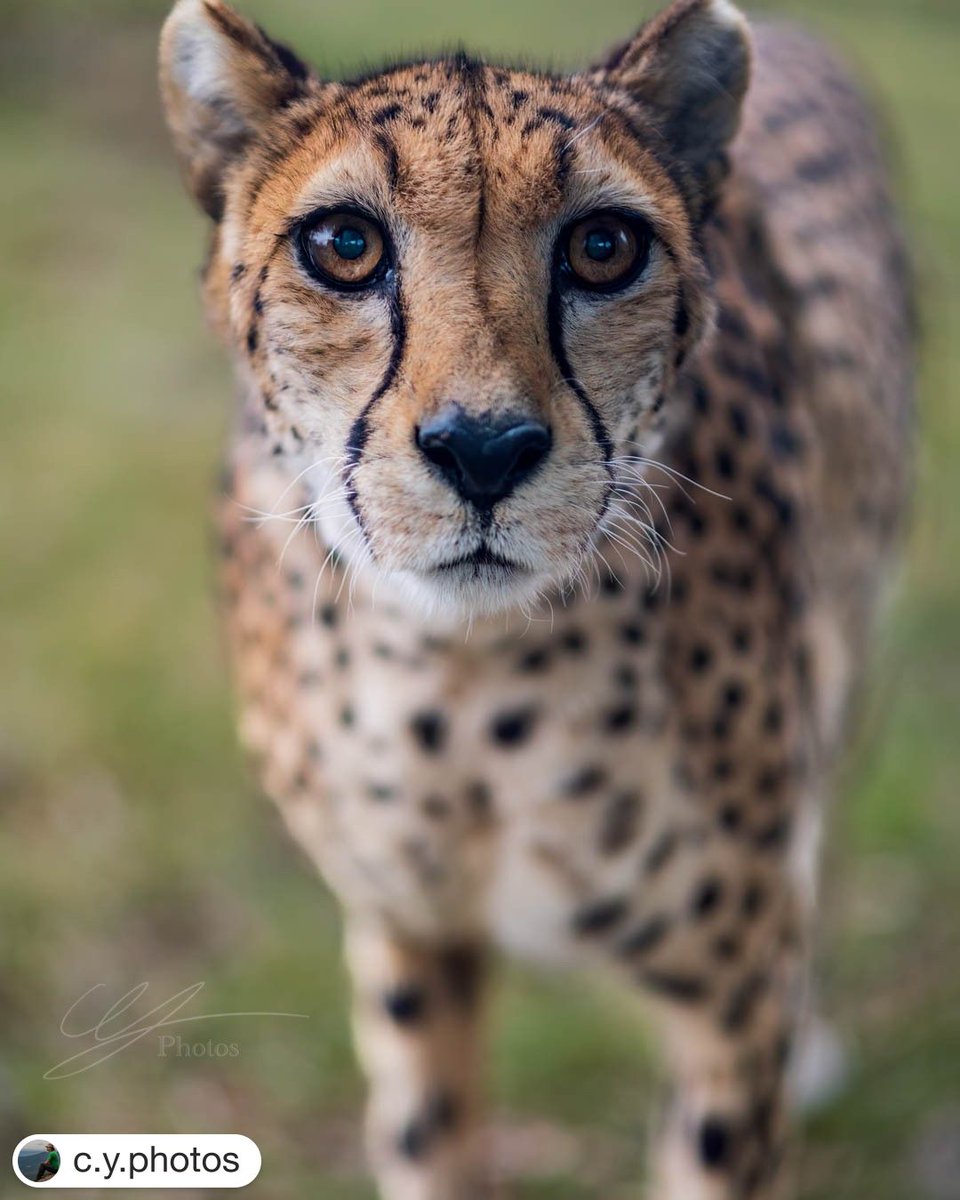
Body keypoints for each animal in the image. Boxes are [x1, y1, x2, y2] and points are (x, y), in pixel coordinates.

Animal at [159, 2, 916, 1190]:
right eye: (344, 245)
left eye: (604, 248)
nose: (483, 449)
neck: (462, 683)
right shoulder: (412, 933)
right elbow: (427, 1143)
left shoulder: (732, 985)